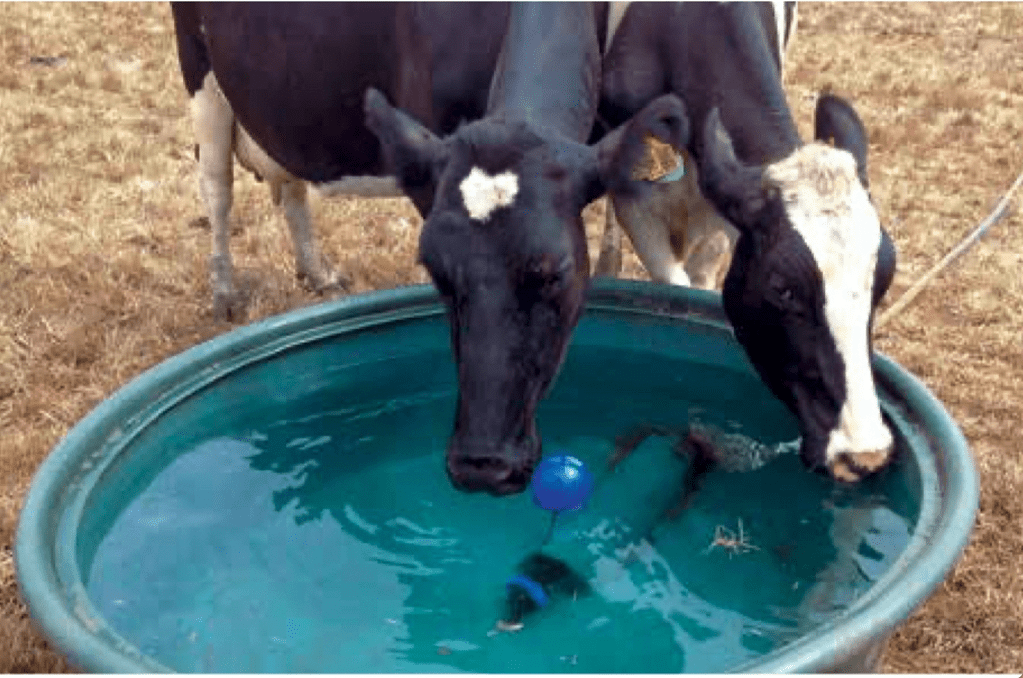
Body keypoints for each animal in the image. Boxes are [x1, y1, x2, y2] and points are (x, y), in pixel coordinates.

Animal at [172, 2, 690, 495]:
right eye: (435, 270)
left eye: (554, 272)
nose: (484, 466)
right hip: (200, 72)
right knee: (216, 183)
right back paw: (224, 292)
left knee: (291, 183)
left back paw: (318, 273)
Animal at [593, 2, 897, 483]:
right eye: (782, 288)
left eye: (884, 278)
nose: (864, 455)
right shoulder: (633, 195)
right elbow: (671, 286)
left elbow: (701, 276)